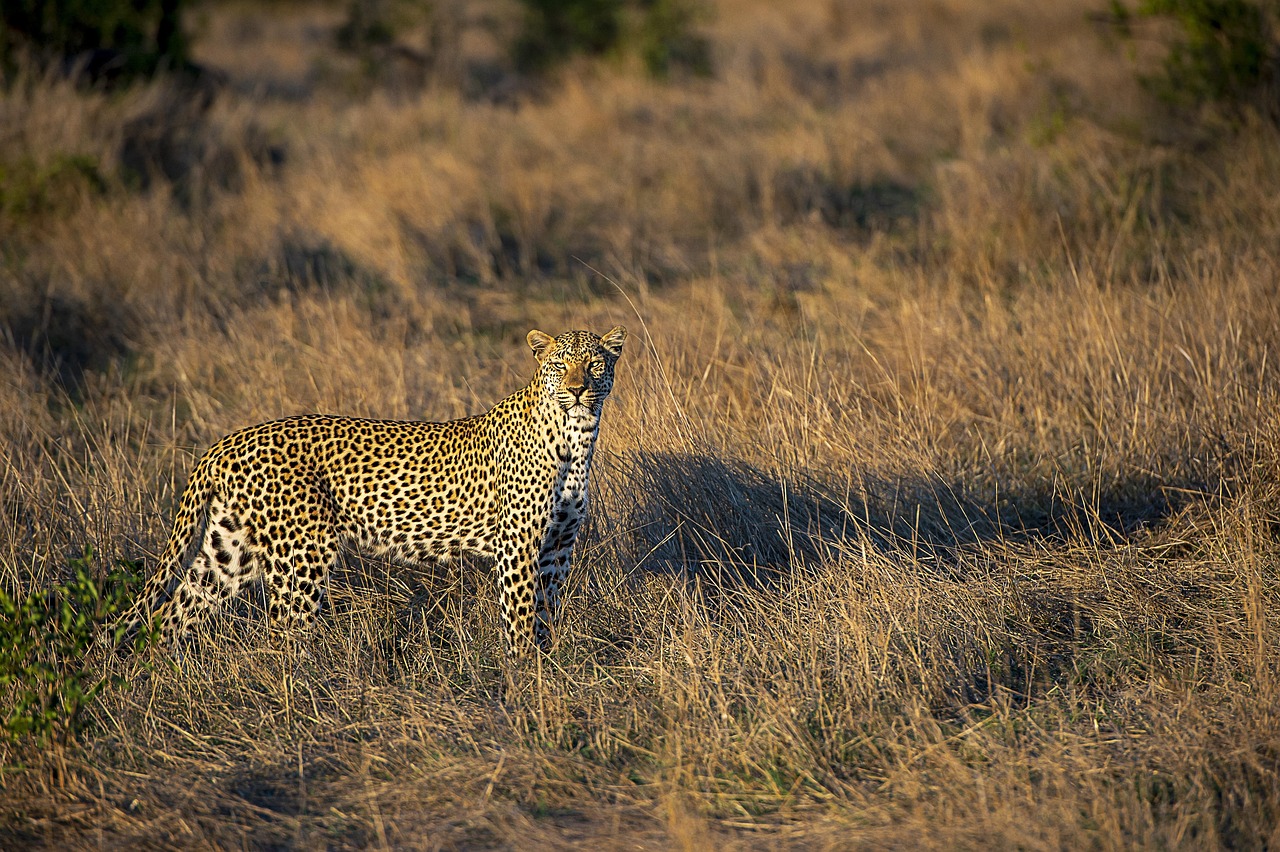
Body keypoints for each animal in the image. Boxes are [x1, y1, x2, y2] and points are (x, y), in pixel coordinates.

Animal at [128, 326, 627, 654]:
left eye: (594, 364)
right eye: (560, 364)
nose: (577, 389)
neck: (577, 437)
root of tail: (228, 441)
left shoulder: (557, 547)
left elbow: (546, 613)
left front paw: (547, 670)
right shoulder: (518, 547)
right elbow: (522, 618)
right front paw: (523, 676)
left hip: (230, 549)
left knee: (174, 610)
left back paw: (160, 680)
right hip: (301, 556)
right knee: (284, 631)